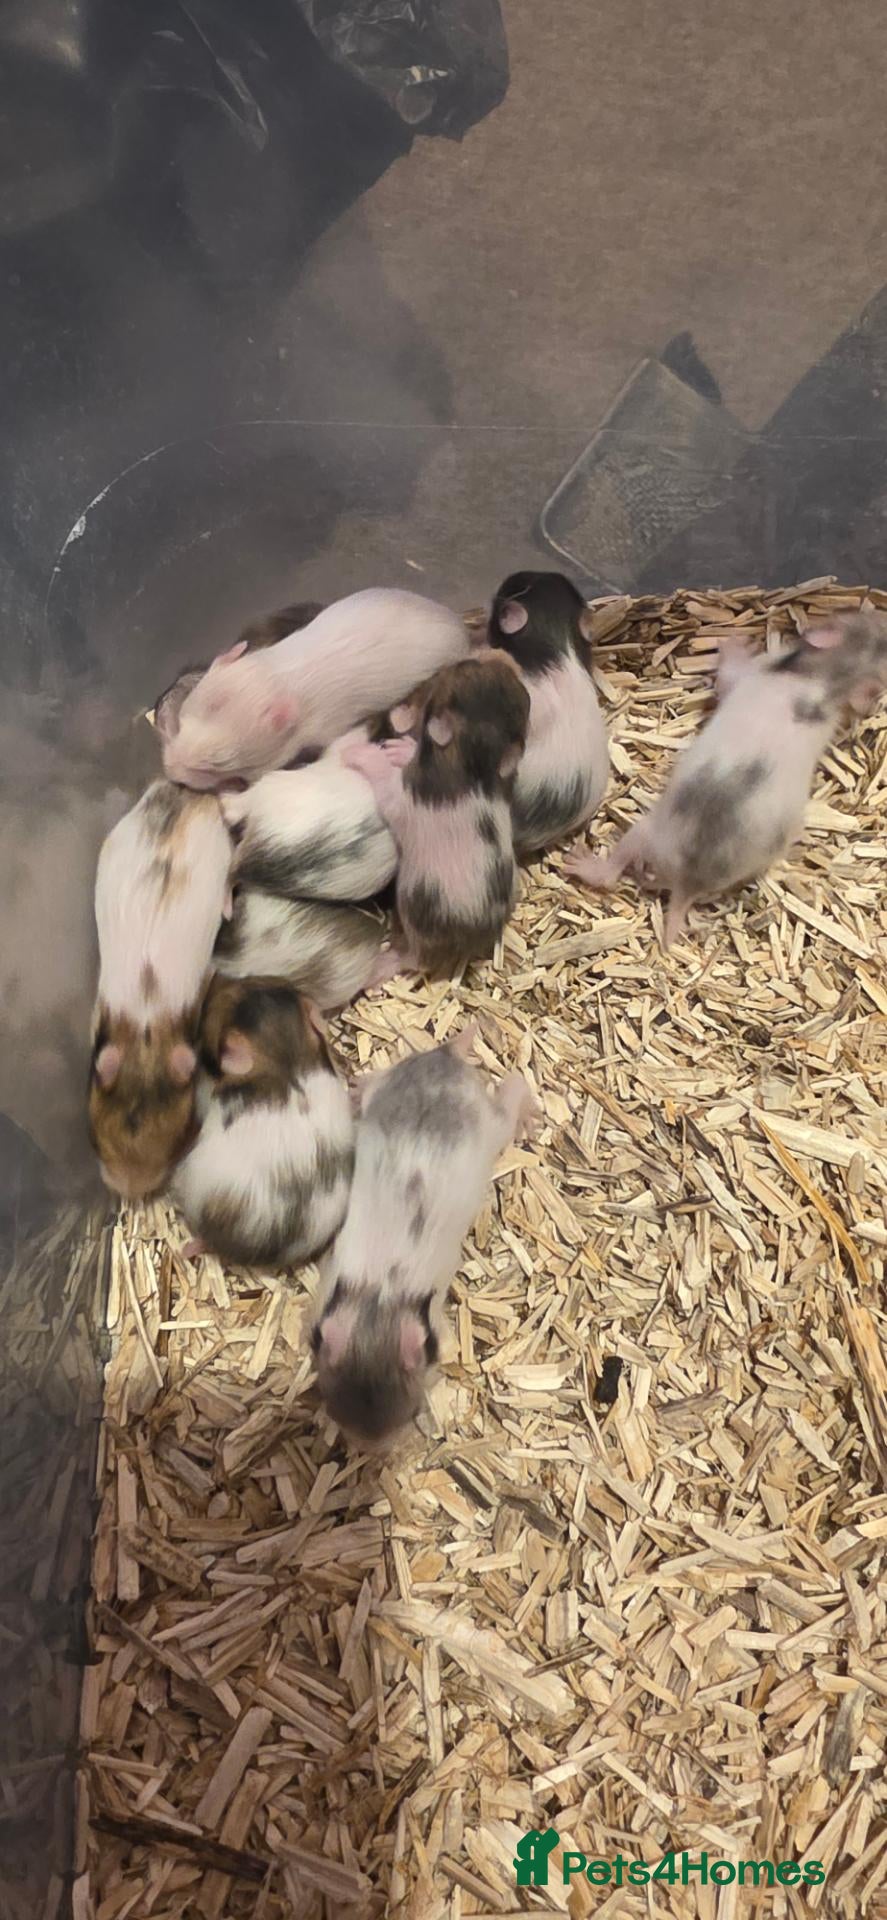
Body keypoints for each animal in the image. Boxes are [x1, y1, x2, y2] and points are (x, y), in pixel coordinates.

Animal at [311, 1028, 539, 1445]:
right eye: (334, 1409)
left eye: (414, 1413)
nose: (373, 1451)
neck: (380, 1300)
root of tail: (444, 1057)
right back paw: (359, 1086)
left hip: (490, 1124)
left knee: (512, 1088)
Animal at [339, 651, 530, 978]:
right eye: (472, 666)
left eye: (461, 667)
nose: (502, 654)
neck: (474, 764)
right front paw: (401, 747)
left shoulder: (401, 796)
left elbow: (384, 779)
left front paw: (366, 753)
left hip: (416, 919)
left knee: (414, 960)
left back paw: (381, 966)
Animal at [567, 612, 887, 947]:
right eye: (872, 625)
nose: (878, 614)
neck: (831, 676)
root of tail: (688, 881)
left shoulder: (751, 674)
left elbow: (727, 680)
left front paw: (735, 644)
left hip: (649, 833)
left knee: (613, 871)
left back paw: (583, 865)